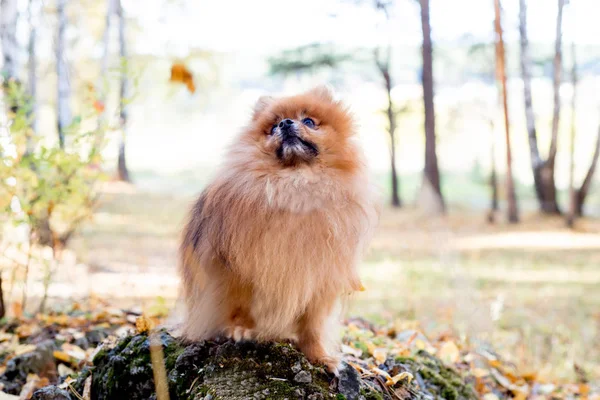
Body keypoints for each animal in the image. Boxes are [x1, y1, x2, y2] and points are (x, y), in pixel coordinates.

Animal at [178, 85, 378, 372]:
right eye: (273, 127)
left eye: (309, 121)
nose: (285, 123)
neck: (296, 184)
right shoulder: (238, 271)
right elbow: (241, 304)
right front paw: (241, 328)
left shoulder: (320, 280)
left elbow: (312, 326)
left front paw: (320, 356)